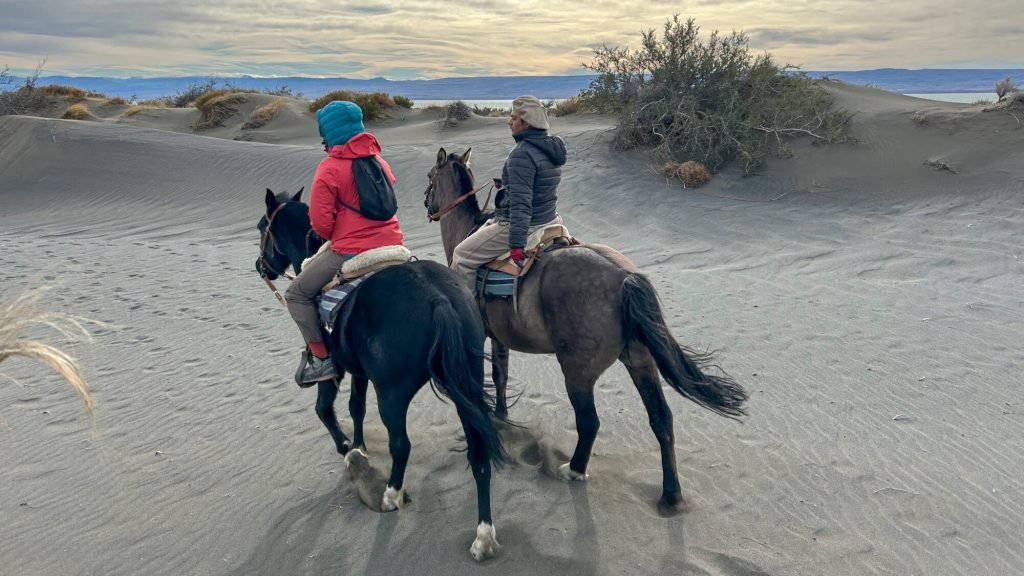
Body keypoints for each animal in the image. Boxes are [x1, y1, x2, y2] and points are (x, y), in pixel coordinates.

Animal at [256, 189, 503, 561]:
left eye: (262, 228)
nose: (261, 266)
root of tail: (439, 298)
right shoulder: (359, 370)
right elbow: (356, 407)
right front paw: (359, 445)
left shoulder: (335, 367)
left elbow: (324, 408)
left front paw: (350, 450)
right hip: (467, 383)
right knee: (479, 452)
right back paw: (483, 536)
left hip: (393, 393)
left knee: (401, 444)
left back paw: (390, 495)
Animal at [419, 146, 749, 506]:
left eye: (430, 177)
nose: (426, 203)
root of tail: (624, 277)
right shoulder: (498, 338)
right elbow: (501, 375)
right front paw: (501, 417)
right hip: (640, 360)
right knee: (661, 419)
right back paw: (671, 493)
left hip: (577, 371)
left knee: (589, 422)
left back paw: (574, 469)